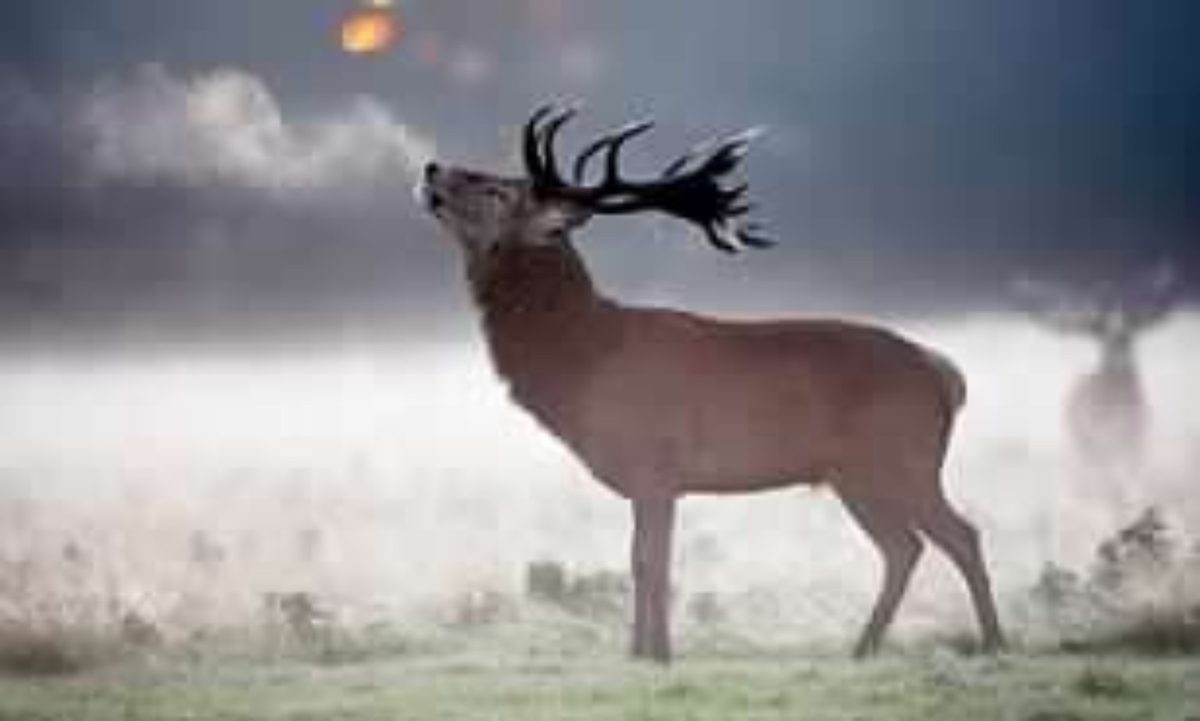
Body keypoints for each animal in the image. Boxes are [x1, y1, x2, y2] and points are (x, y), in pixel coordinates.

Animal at [418, 105, 1005, 662]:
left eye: (497, 190)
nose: (431, 169)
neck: (587, 359)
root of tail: (946, 375)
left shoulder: (655, 465)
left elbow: (651, 562)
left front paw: (657, 654)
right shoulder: (651, 480)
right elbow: (640, 561)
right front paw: (638, 653)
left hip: (905, 459)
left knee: (961, 536)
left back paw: (994, 643)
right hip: (855, 475)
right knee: (903, 548)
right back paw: (863, 649)